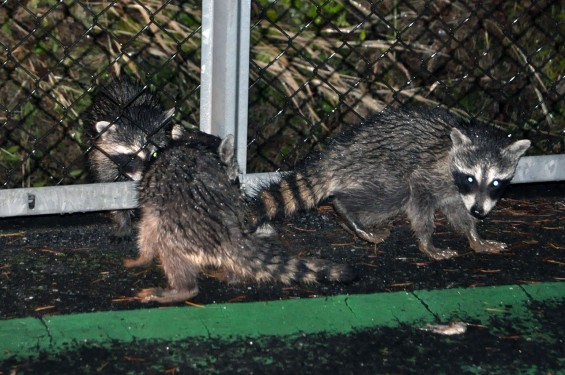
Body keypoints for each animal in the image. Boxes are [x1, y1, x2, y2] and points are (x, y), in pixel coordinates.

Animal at [124, 134, 352, 304]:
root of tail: (230, 233)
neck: (191, 143)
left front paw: (142, 257)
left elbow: (147, 226)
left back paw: (182, 289)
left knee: (167, 246)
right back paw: (232, 275)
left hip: (180, 229)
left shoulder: (153, 197)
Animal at [249, 108, 532, 262]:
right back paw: (346, 210)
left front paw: (474, 235)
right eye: (471, 178)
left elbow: (459, 211)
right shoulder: (429, 174)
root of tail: (334, 155)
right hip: (376, 165)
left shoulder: (457, 193)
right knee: (398, 192)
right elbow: (419, 200)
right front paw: (427, 241)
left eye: (496, 182)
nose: (479, 212)